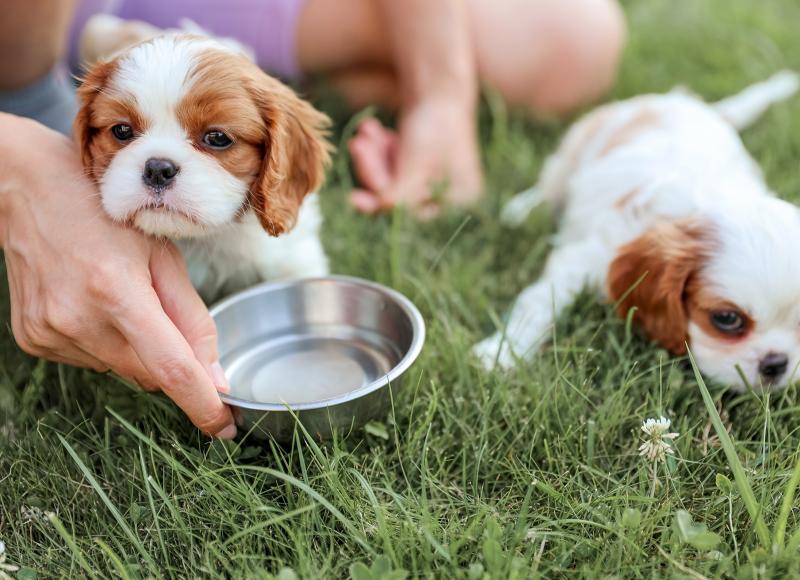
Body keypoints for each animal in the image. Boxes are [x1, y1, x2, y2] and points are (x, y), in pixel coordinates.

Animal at [476, 71, 800, 390]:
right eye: (727, 319)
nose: (776, 364)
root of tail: (681, 102)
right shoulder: (588, 258)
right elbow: (539, 304)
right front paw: (501, 354)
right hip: (570, 156)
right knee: (548, 187)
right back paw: (521, 209)